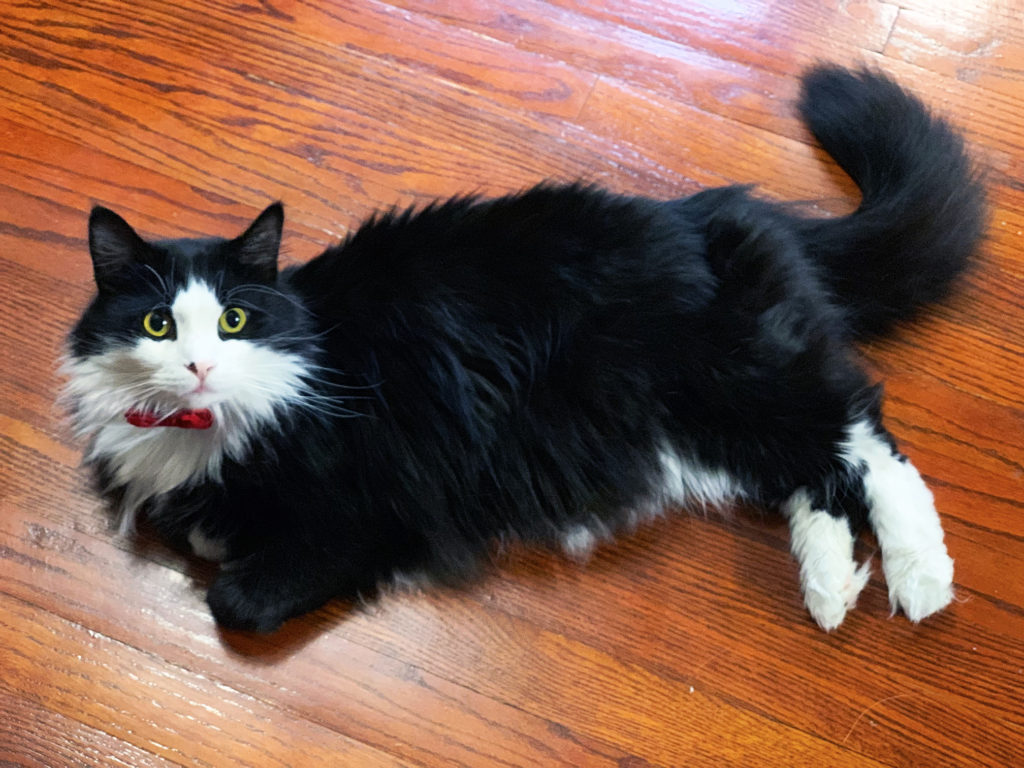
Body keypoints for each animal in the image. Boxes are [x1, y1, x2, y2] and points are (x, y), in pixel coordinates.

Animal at [61, 66, 983, 630]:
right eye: (157, 324)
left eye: (235, 322)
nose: (198, 365)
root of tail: (712, 208)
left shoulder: (369, 507)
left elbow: (237, 599)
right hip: (705, 419)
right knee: (817, 469)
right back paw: (831, 587)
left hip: (730, 381)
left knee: (868, 439)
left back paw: (918, 578)